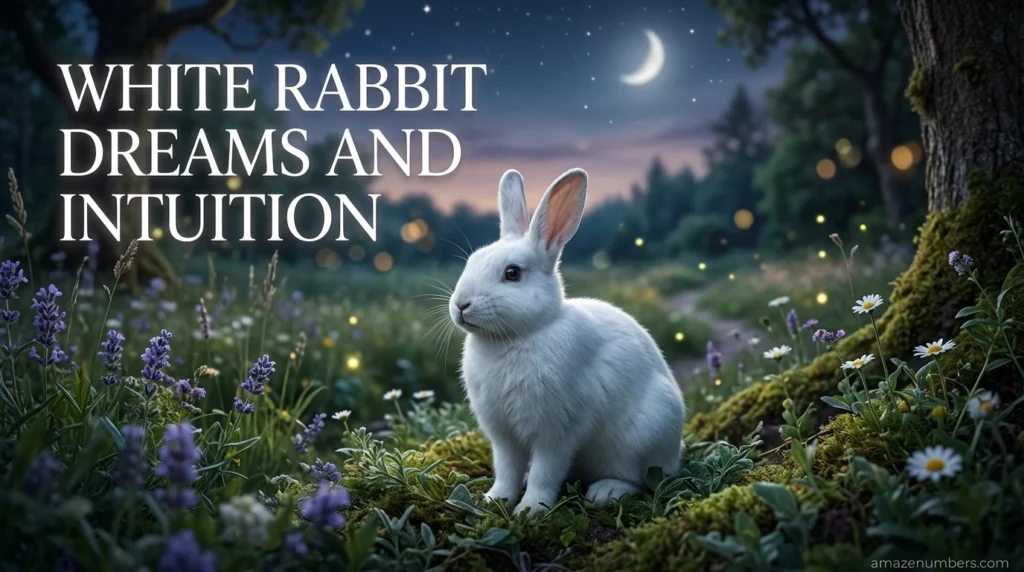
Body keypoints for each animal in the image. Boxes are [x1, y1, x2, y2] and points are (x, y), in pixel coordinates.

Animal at [448, 168, 686, 517]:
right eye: (471, 262)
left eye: (512, 273)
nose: (460, 305)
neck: (518, 337)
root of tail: (675, 452)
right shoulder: (503, 436)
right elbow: (506, 470)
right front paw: (495, 500)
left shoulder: (556, 433)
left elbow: (546, 472)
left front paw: (531, 511)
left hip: (644, 436)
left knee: (642, 479)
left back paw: (606, 492)